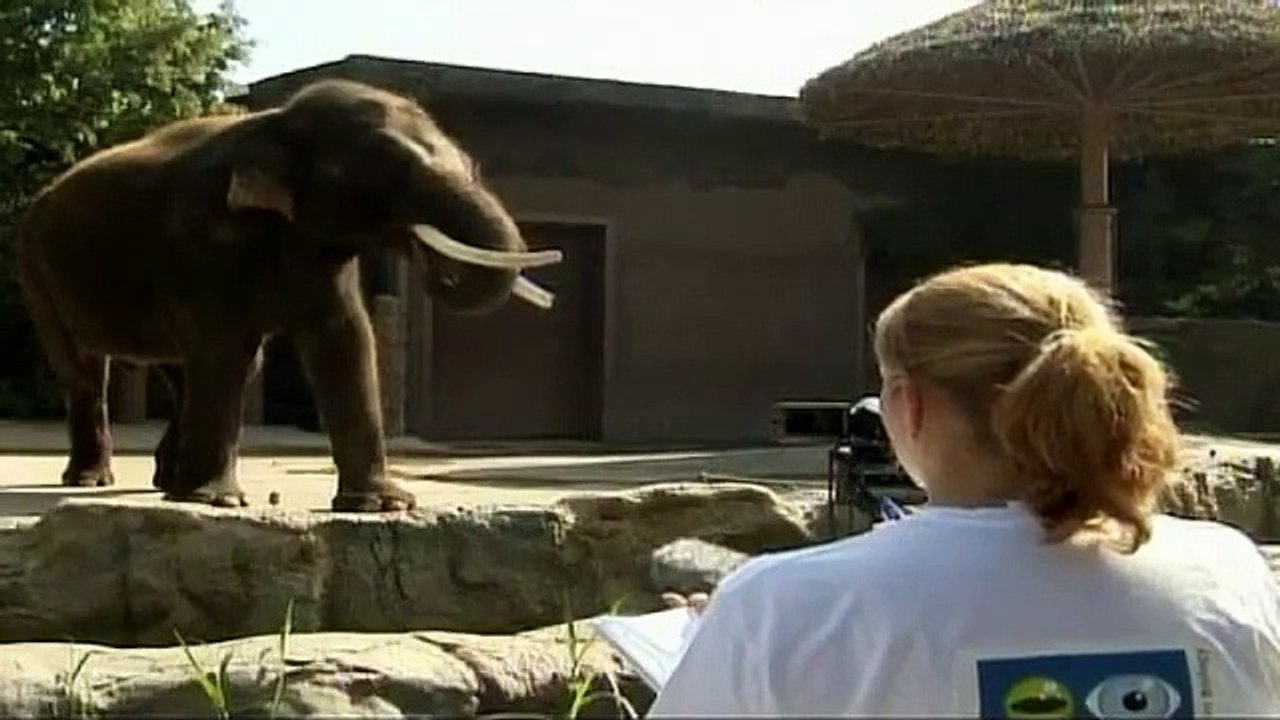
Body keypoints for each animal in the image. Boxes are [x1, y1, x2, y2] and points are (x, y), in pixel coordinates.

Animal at [14, 78, 561, 512]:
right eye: (389, 165)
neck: (273, 121)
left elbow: (346, 341)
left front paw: (380, 506)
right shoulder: (203, 236)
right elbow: (226, 349)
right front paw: (216, 502)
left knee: (184, 368)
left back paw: (166, 482)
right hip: (36, 268)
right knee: (84, 369)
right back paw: (92, 481)